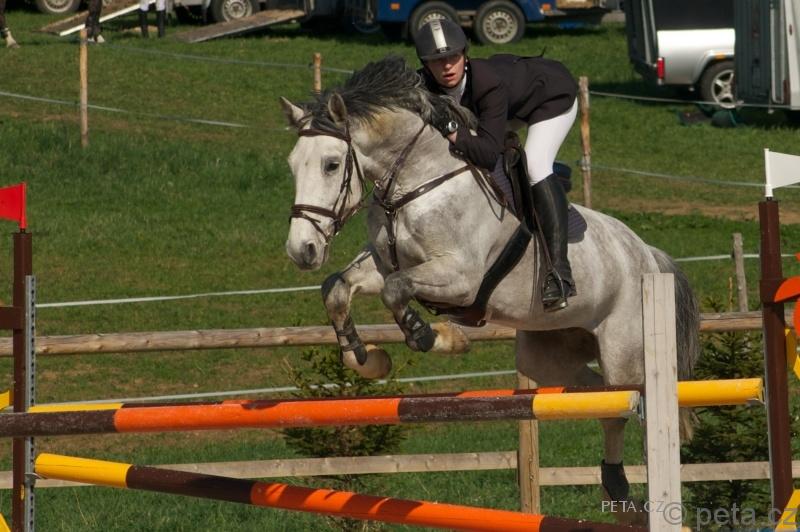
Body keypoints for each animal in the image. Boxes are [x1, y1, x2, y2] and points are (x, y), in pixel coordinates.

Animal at [280, 55, 700, 507]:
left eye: (331, 164)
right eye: (292, 165)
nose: (301, 250)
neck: (416, 181)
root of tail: (647, 256)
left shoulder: (460, 277)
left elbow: (397, 292)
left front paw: (435, 336)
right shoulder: (382, 263)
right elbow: (337, 289)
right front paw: (367, 360)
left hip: (625, 350)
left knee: (625, 406)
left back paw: (623, 482)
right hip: (549, 356)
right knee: (594, 395)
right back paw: (614, 481)